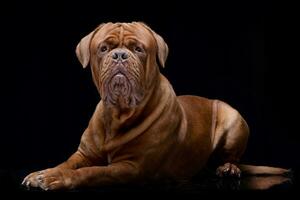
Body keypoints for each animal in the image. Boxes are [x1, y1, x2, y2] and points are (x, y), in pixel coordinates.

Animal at [21, 21, 288, 191]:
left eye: (138, 49)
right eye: (103, 48)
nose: (119, 55)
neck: (117, 114)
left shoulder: (130, 168)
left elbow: (91, 172)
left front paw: (60, 179)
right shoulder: (84, 154)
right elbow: (66, 164)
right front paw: (43, 173)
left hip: (233, 118)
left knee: (232, 156)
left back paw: (229, 168)